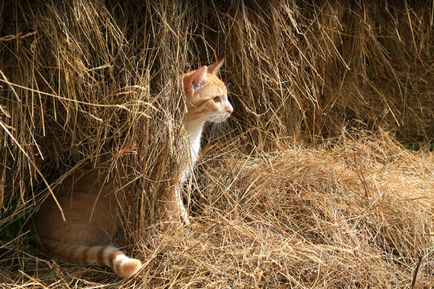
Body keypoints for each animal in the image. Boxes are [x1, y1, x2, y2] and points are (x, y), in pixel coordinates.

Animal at [33, 58, 234, 276]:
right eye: (216, 99)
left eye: (226, 97)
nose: (231, 110)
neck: (191, 132)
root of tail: (36, 228)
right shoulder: (167, 186)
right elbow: (173, 215)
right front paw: (182, 235)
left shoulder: (177, 184)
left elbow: (182, 210)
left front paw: (189, 224)